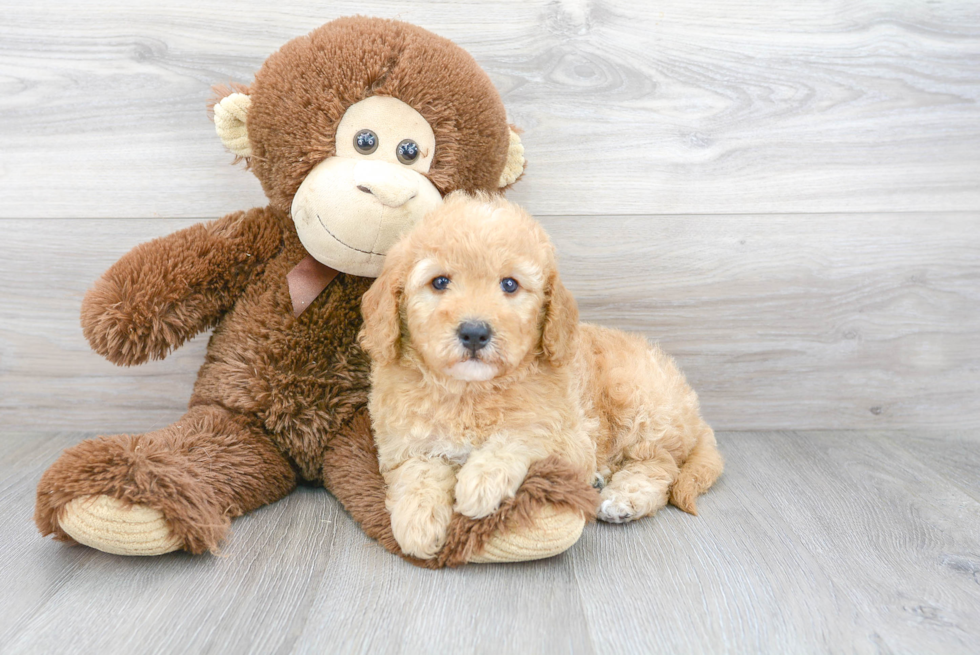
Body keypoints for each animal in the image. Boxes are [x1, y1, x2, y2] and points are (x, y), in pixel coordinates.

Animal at [360, 191, 720, 560]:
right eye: (440, 282)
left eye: (509, 285)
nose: (474, 332)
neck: (470, 391)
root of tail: (695, 415)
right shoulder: (403, 445)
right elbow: (418, 470)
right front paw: (417, 521)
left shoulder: (568, 436)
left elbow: (522, 436)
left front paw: (480, 483)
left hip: (639, 403)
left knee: (659, 465)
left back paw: (623, 499)